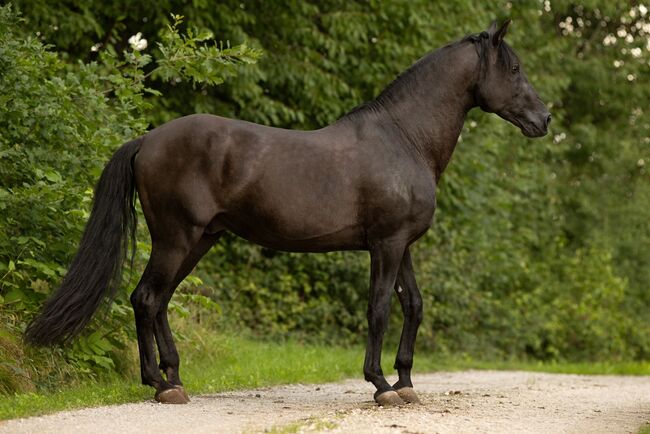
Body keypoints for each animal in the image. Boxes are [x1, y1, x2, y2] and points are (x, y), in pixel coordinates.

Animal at [25, 20, 550, 406]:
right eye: (514, 67)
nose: (544, 120)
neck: (404, 138)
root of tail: (147, 140)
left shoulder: (403, 245)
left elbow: (414, 306)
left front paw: (405, 383)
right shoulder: (385, 244)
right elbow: (379, 308)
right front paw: (380, 385)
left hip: (200, 240)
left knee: (158, 301)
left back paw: (173, 378)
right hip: (176, 239)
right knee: (146, 298)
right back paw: (160, 384)